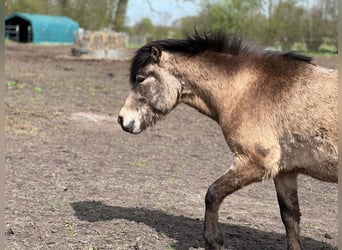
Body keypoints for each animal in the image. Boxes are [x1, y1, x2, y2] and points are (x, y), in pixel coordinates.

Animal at [117, 31, 336, 250]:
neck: (246, 89)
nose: (122, 119)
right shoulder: (285, 172)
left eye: (140, 78)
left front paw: (214, 240)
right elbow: (290, 217)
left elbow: (212, 193)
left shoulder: (256, 162)